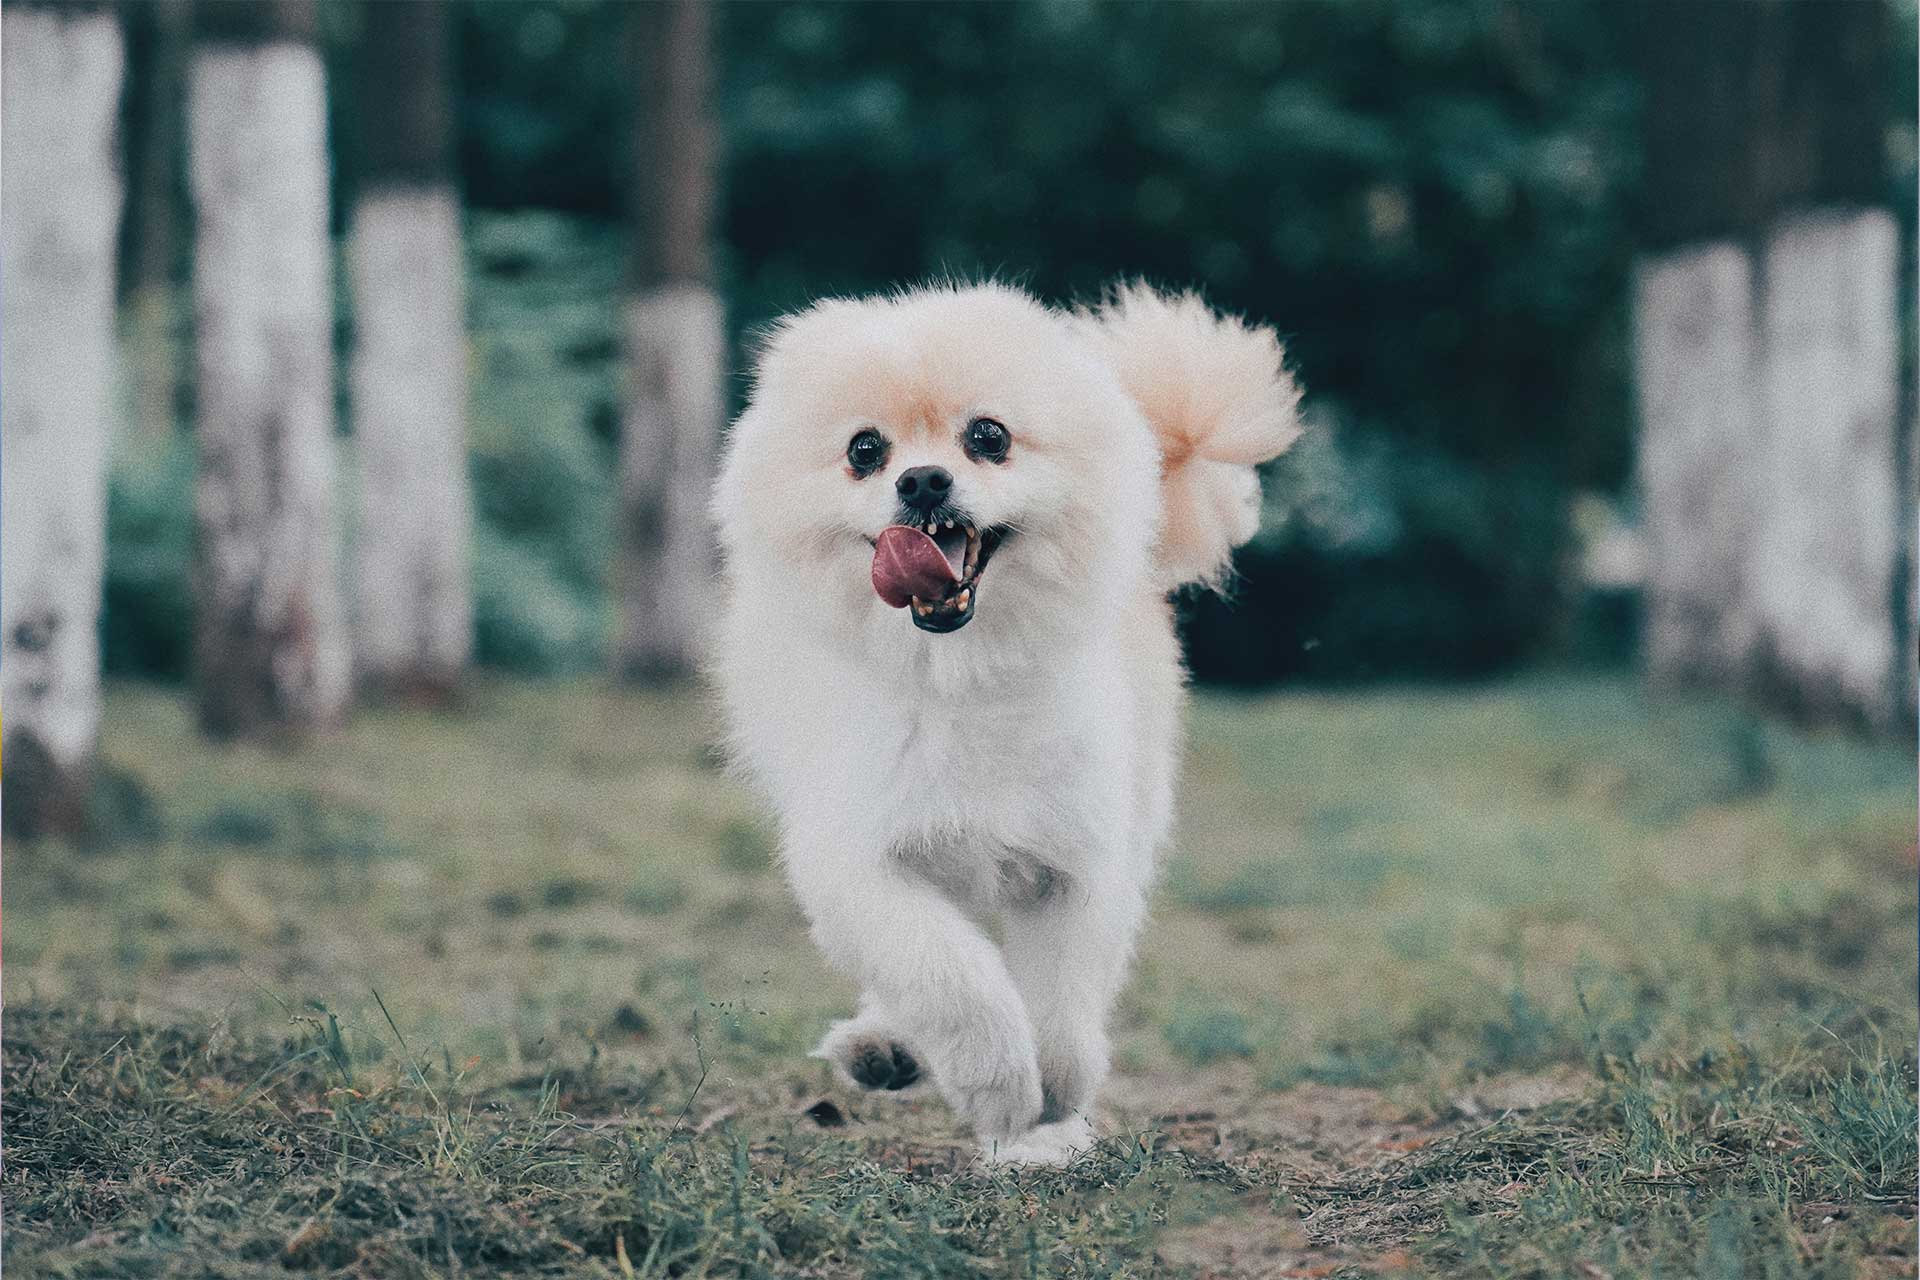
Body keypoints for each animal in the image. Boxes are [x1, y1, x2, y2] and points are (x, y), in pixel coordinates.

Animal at [710, 285, 1305, 1166]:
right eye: (864, 450)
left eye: (988, 437)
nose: (923, 481)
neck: (961, 679)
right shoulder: (858, 859)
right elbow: (948, 976)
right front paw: (997, 1083)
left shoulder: (1077, 860)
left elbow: (1061, 1001)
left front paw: (1052, 1100)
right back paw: (886, 1044)